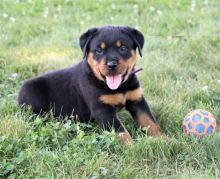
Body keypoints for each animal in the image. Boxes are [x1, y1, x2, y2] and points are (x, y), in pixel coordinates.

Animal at [17, 25, 162, 144]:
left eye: (123, 48)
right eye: (99, 51)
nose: (112, 65)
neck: (120, 87)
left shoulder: (137, 100)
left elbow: (151, 122)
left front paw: (163, 141)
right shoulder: (102, 109)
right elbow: (121, 131)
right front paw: (131, 147)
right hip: (30, 92)